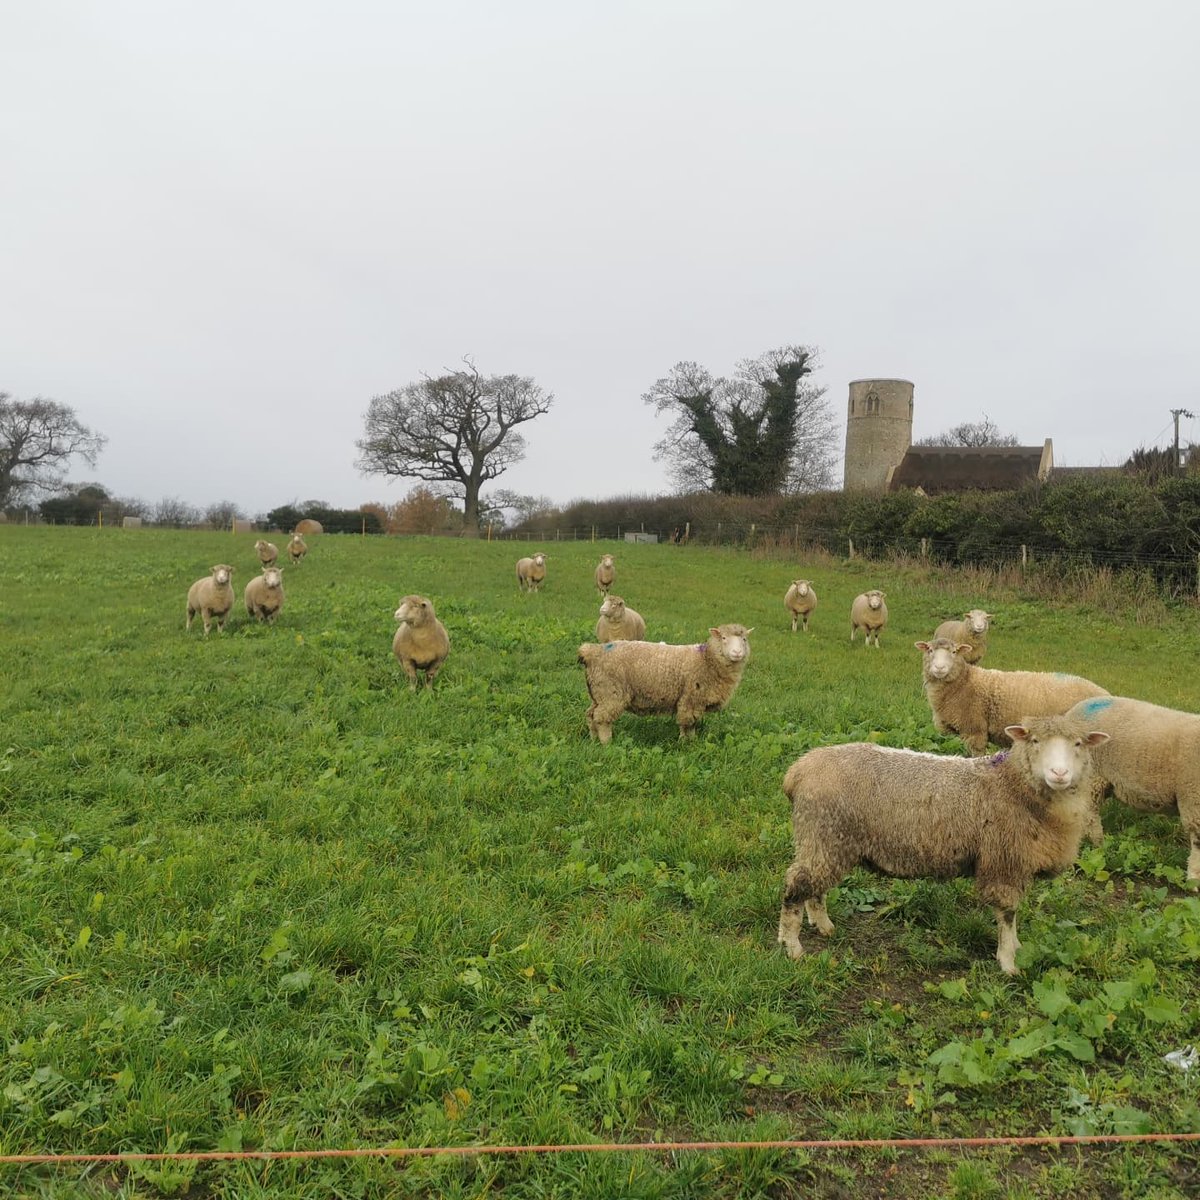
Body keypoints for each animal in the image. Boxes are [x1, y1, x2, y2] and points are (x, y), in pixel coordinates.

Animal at [578, 623, 752, 743]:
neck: (707, 660)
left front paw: (690, 742)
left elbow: (690, 723)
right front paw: (686, 743)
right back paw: (607, 742)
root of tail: (592, 652)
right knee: (602, 718)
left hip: (598, 692)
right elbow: (688, 723)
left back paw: (594, 739)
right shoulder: (691, 698)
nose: (737, 653)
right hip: (611, 691)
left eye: (744, 640)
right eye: (724, 638)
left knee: (590, 714)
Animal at [777, 714, 1111, 974]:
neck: (1012, 784)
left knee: (814, 887)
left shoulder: (1016, 863)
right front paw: (1008, 962)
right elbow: (1007, 913)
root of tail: (799, 769)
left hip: (826, 840)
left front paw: (1016, 946)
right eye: (1035, 741)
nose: (1059, 773)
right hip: (823, 832)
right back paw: (792, 946)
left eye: (1079, 744)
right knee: (797, 884)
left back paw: (822, 925)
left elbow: (1014, 915)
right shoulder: (1003, 863)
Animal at [917, 637, 1109, 758]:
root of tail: (1106, 694)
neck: (963, 682)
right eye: (930, 650)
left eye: (955, 652)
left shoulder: (974, 729)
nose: (939, 668)